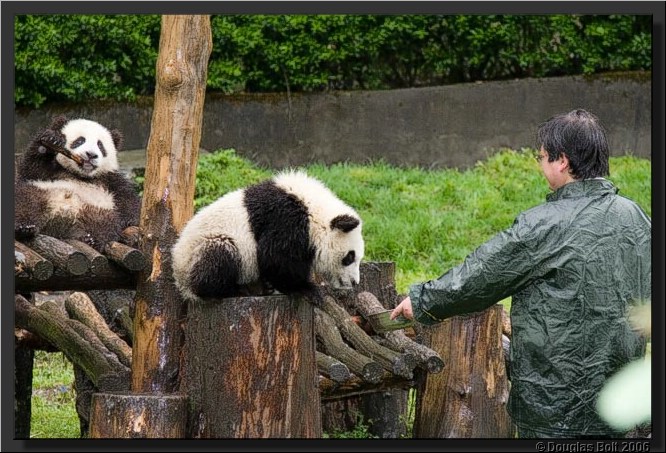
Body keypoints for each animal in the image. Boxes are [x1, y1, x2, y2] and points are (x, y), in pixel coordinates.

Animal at [14, 116, 141, 252]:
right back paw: (24, 228)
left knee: (105, 225)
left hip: (98, 210)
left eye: (100, 145)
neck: (81, 175)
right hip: (41, 192)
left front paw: (130, 220)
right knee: (25, 201)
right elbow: (31, 167)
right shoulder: (48, 173)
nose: (91, 155)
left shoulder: (108, 178)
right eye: (80, 141)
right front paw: (52, 140)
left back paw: (91, 240)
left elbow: (126, 196)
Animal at [171, 170, 364, 302]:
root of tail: (180, 282)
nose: (355, 282)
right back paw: (236, 290)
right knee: (218, 257)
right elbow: (275, 257)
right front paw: (306, 288)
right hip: (203, 247)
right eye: (349, 257)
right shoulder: (285, 219)